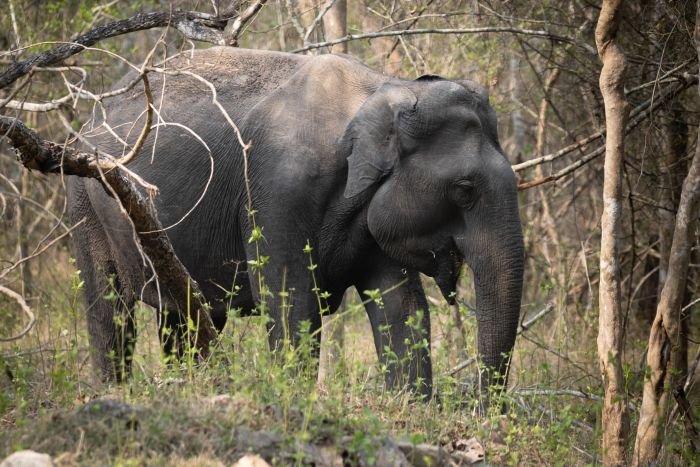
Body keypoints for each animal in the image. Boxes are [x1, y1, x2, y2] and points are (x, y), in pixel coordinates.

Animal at [67, 46, 524, 402]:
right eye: (464, 189)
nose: (480, 406)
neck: (381, 90)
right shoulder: (278, 189)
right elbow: (291, 301)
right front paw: (295, 401)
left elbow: (401, 305)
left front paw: (414, 408)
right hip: (85, 194)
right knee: (109, 306)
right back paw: (113, 392)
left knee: (187, 316)